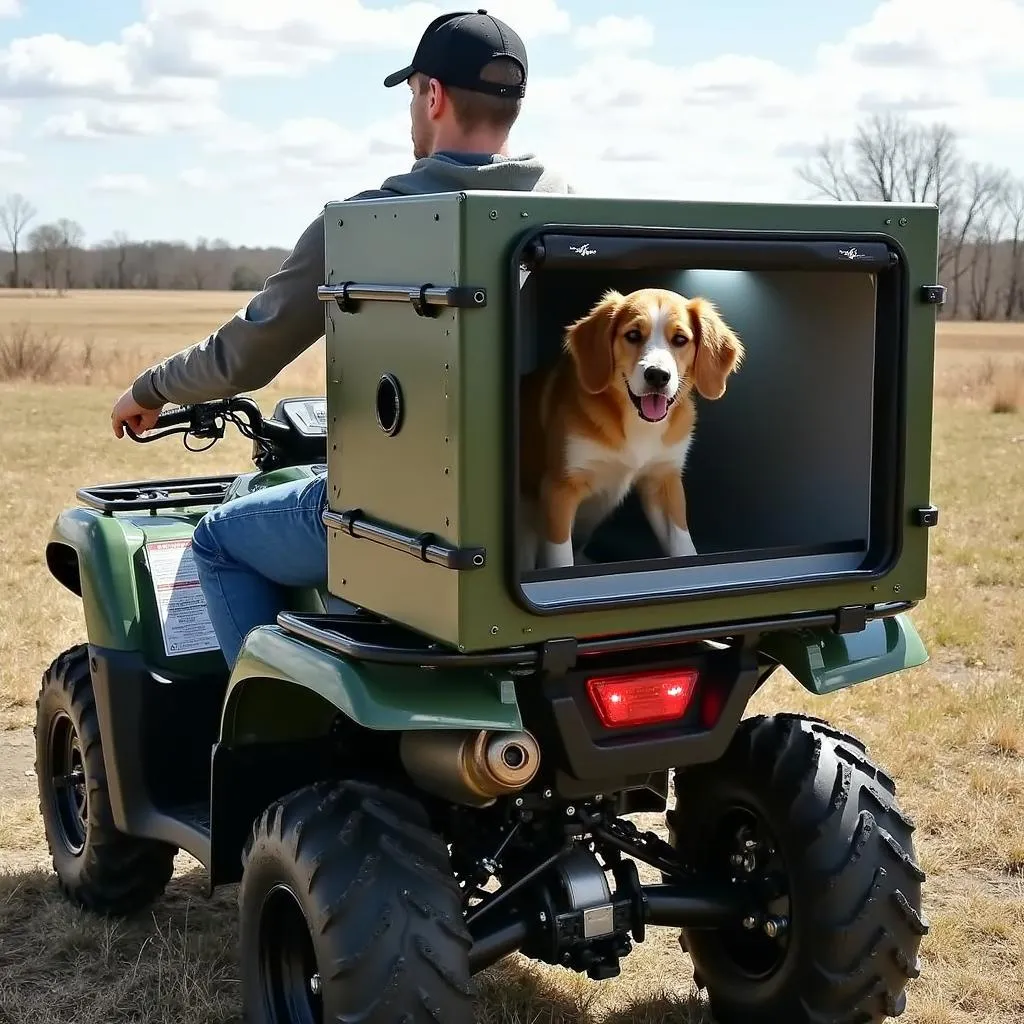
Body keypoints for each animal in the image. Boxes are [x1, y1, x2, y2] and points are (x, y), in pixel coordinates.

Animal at [520, 288, 745, 573]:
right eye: (633, 335)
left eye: (680, 339)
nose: (658, 375)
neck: (638, 424)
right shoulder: (560, 488)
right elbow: (561, 561)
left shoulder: (664, 480)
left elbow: (683, 545)